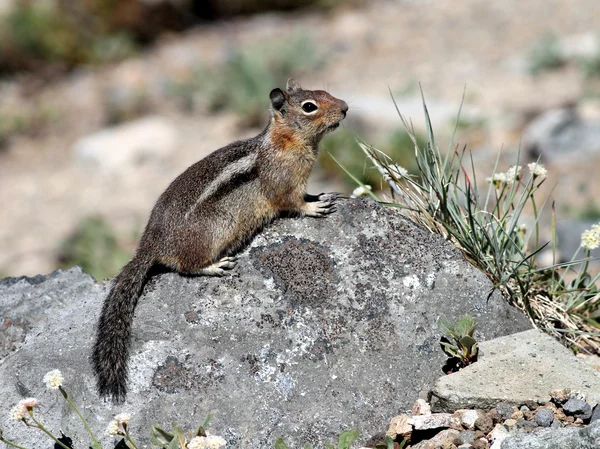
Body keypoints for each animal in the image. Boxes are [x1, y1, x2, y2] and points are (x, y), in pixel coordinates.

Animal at [89, 79, 346, 400]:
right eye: (310, 106)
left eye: (326, 92)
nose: (345, 108)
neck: (286, 141)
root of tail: (150, 244)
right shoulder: (285, 184)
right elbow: (293, 203)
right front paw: (315, 207)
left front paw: (321, 195)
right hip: (217, 230)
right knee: (185, 266)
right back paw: (215, 266)